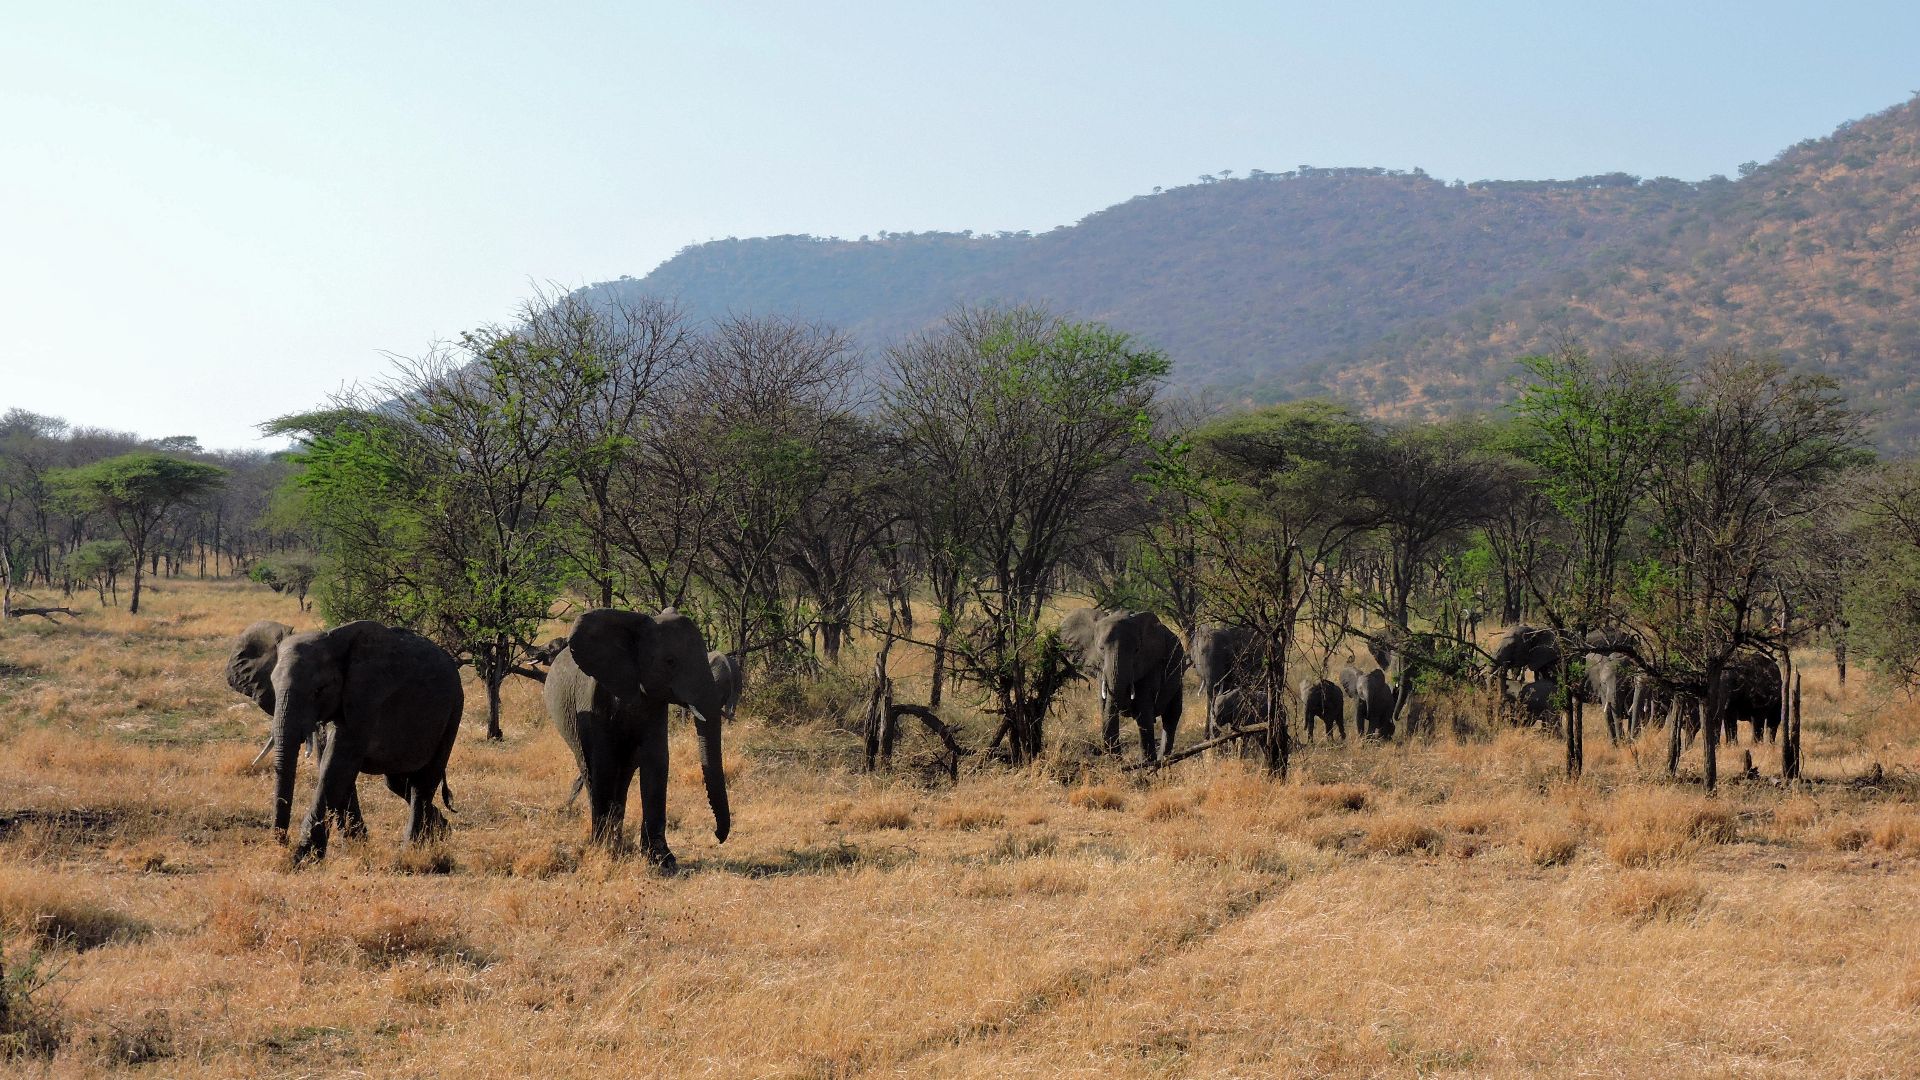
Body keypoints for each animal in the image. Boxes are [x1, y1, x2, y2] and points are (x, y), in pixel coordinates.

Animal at [259, 621, 464, 861]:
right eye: (273, 686)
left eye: (319, 690)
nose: (282, 842)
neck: (333, 641)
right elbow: (331, 765)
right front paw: (354, 845)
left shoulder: (366, 700)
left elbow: (337, 764)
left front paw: (304, 857)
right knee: (397, 781)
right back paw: (440, 831)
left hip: (453, 711)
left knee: (423, 783)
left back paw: (410, 849)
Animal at [544, 607, 730, 868]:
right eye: (670, 661)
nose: (718, 836)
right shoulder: (594, 699)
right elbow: (604, 763)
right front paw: (604, 852)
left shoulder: (655, 702)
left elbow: (657, 761)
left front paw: (663, 861)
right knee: (590, 769)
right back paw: (605, 841)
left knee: (623, 775)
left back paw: (618, 841)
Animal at [1090, 610, 1186, 761]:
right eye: (1101, 649)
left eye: (1136, 650)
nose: (1119, 759)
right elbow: (1104, 708)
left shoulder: (1150, 664)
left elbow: (1143, 712)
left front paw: (1146, 762)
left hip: (1178, 674)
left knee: (1171, 715)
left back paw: (1163, 759)